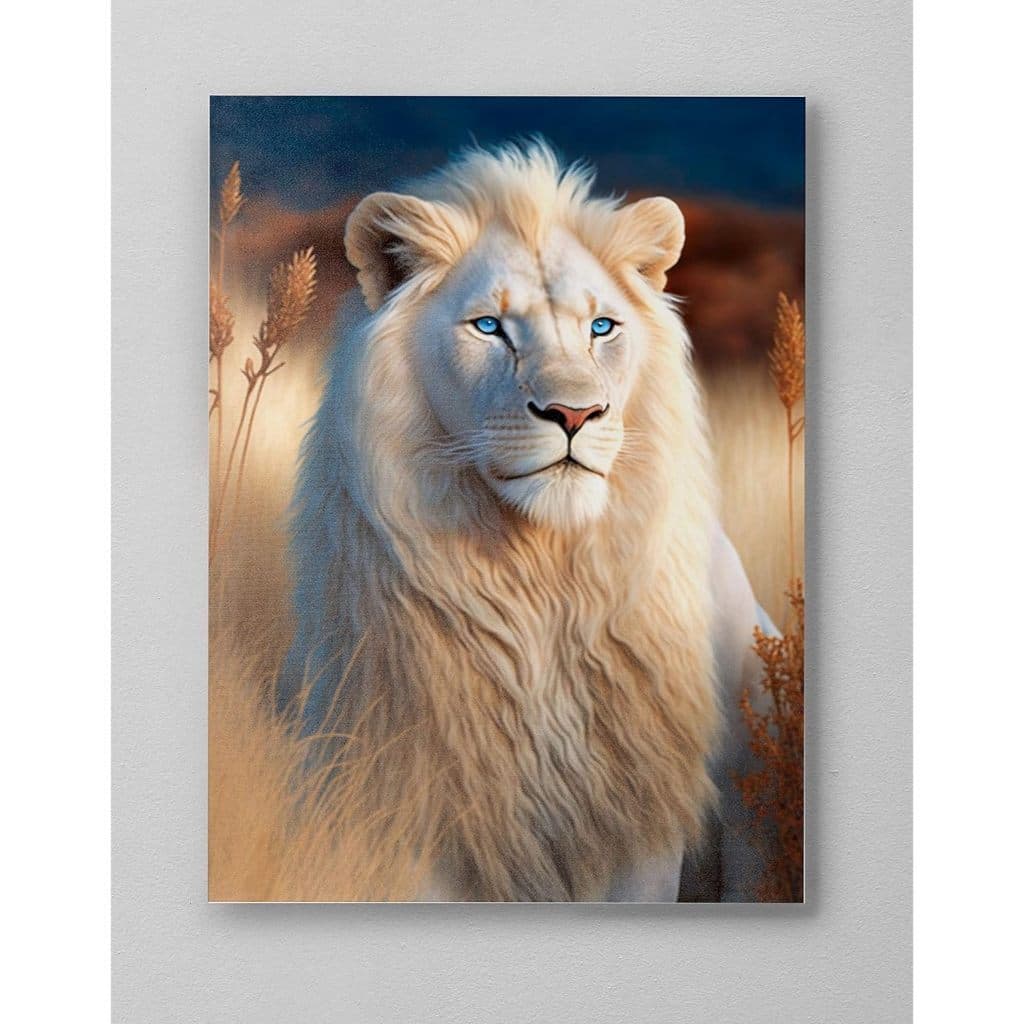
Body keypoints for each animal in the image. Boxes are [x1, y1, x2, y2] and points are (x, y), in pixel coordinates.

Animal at [279, 141, 774, 901]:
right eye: (490, 327)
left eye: (602, 327)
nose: (575, 414)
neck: (539, 585)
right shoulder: (426, 800)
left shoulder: (635, 813)